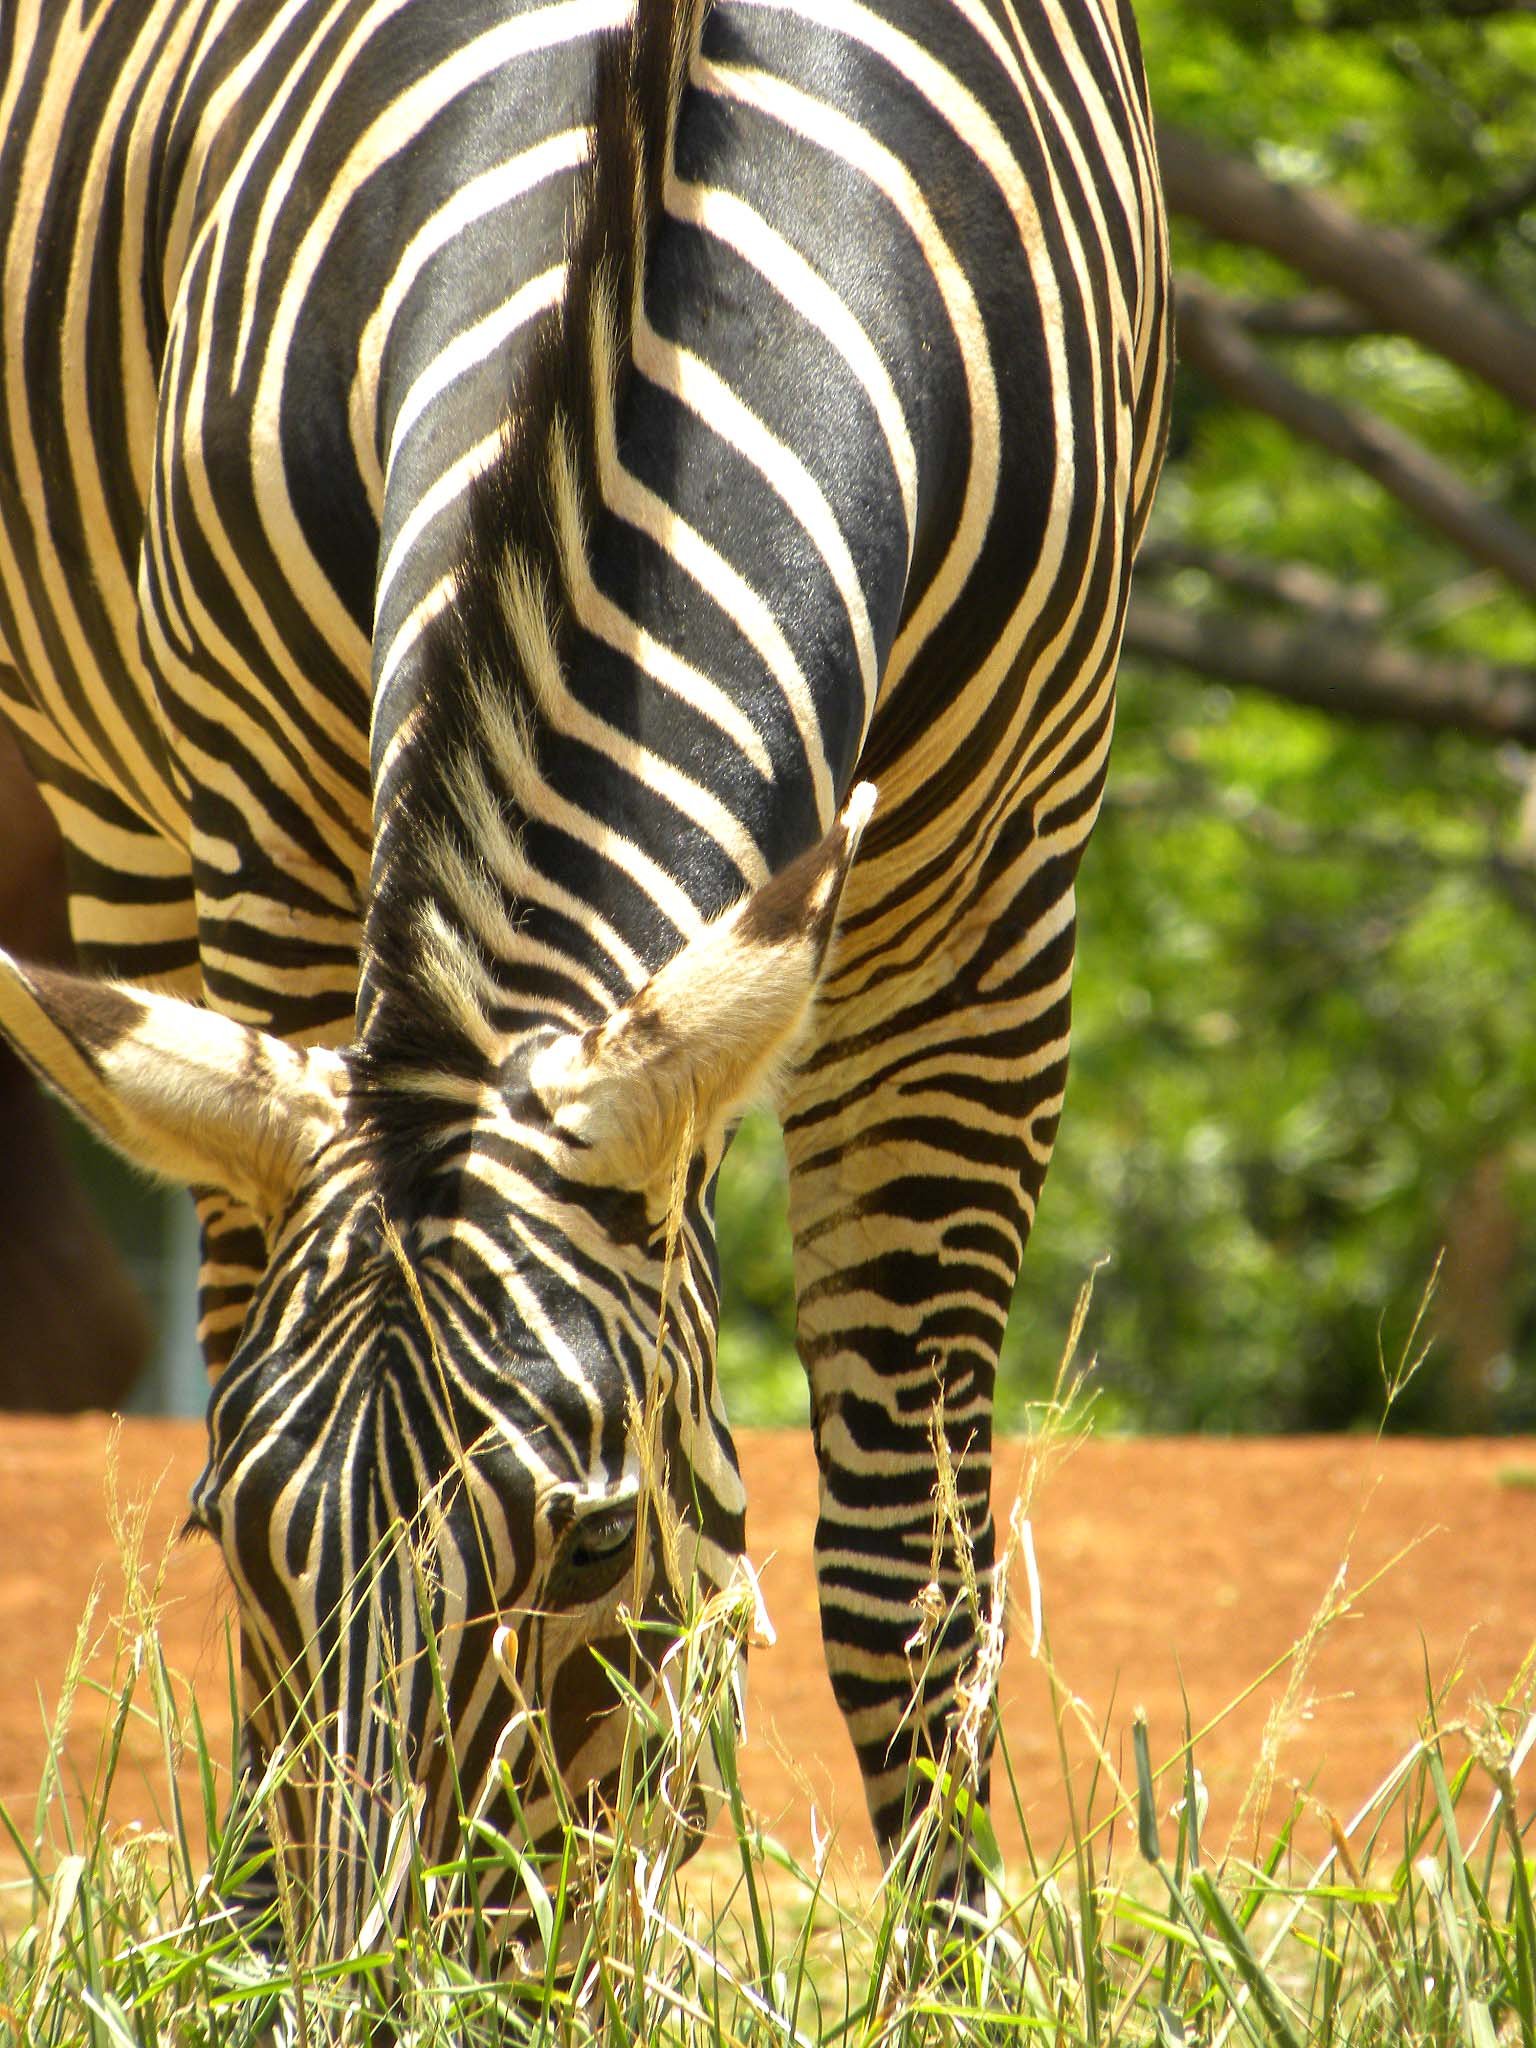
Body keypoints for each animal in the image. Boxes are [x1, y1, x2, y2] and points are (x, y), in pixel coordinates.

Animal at [0, 0, 1171, 1957]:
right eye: (225, 1529)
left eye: (597, 1541)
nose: (390, 1984)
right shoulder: (269, 813)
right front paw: (260, 1924)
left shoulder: (979, 924)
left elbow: (907, 1572)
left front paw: (962, 1977)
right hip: (116, 791)